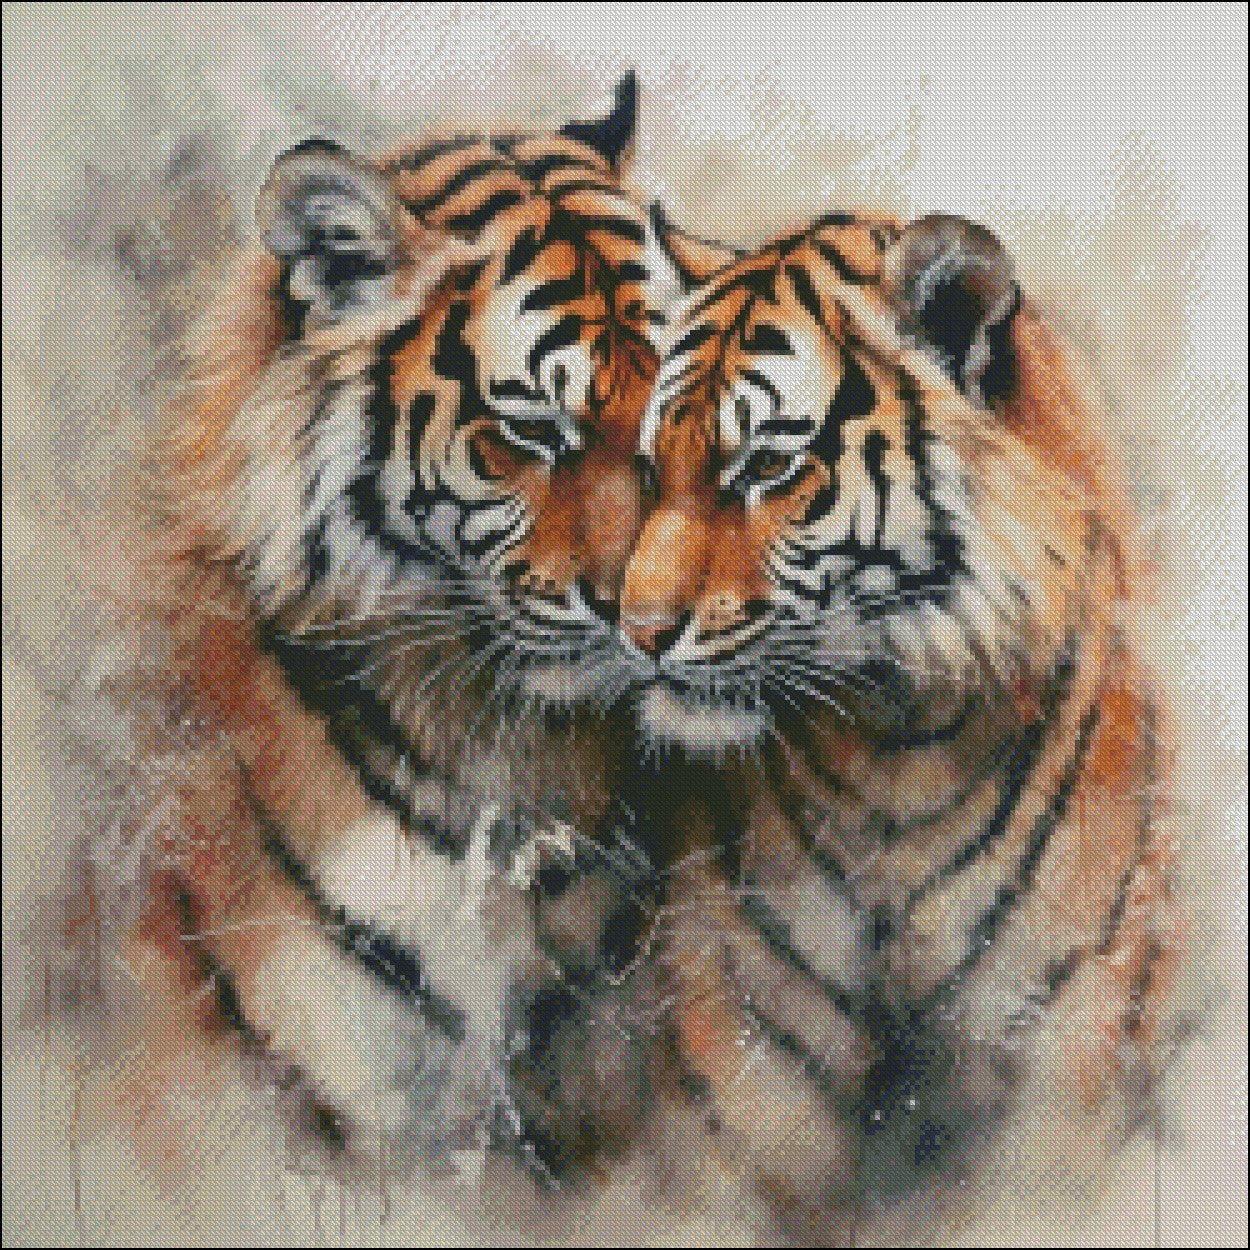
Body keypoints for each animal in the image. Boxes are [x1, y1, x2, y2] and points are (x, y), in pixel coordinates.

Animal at [618, 205, 1187, 1241]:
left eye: (766, 467)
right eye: (650, 468)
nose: (634, 630)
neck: (896, 744)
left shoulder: (1073, 1032)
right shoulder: (746, 1057)